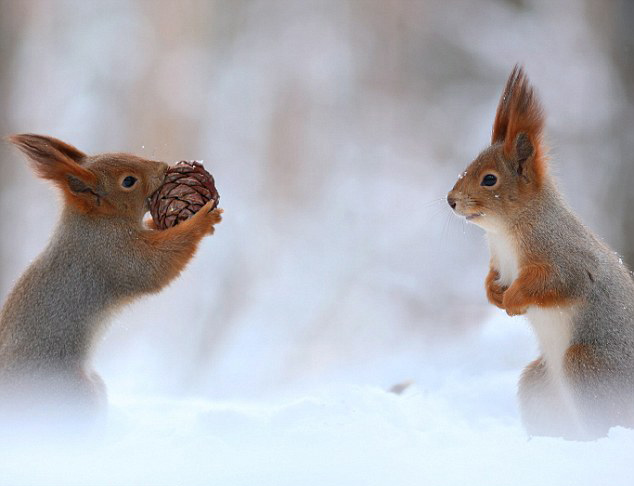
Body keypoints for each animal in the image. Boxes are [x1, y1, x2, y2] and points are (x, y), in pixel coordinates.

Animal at [0, 134, 222, 426]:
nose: (164, 168)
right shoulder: (111, 255)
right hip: (68, 394)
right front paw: (201, 220)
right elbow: (153, 268)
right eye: (128, 181)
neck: (97, 222)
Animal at [446, 66, 632, 442]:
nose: (451, 200)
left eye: (490, 179)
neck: (504, 232)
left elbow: (556, 282)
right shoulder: (498, 261)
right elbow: (491, 279)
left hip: (589, 369)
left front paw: (514, 300)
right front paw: (495, 295)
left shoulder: (565, 258)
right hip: (538, 385)